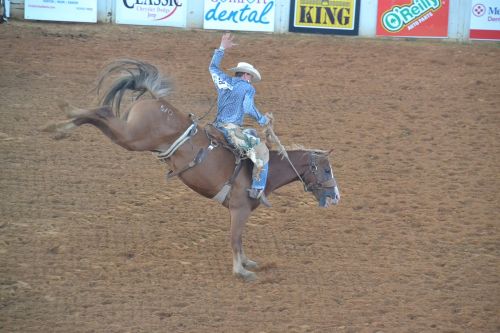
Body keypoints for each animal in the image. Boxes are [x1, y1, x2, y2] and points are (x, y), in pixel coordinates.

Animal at [53, 59, 340, 280]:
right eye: (326, 171)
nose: (336, 196)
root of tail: (157, 100)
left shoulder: (240, 212)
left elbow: (240, 239)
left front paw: (247, 263)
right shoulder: (240, 209)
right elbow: (235, 238)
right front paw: (241, 271)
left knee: (100, 114)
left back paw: (61, 123)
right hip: (133, 138)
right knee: (101, 111)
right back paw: (62, 121)